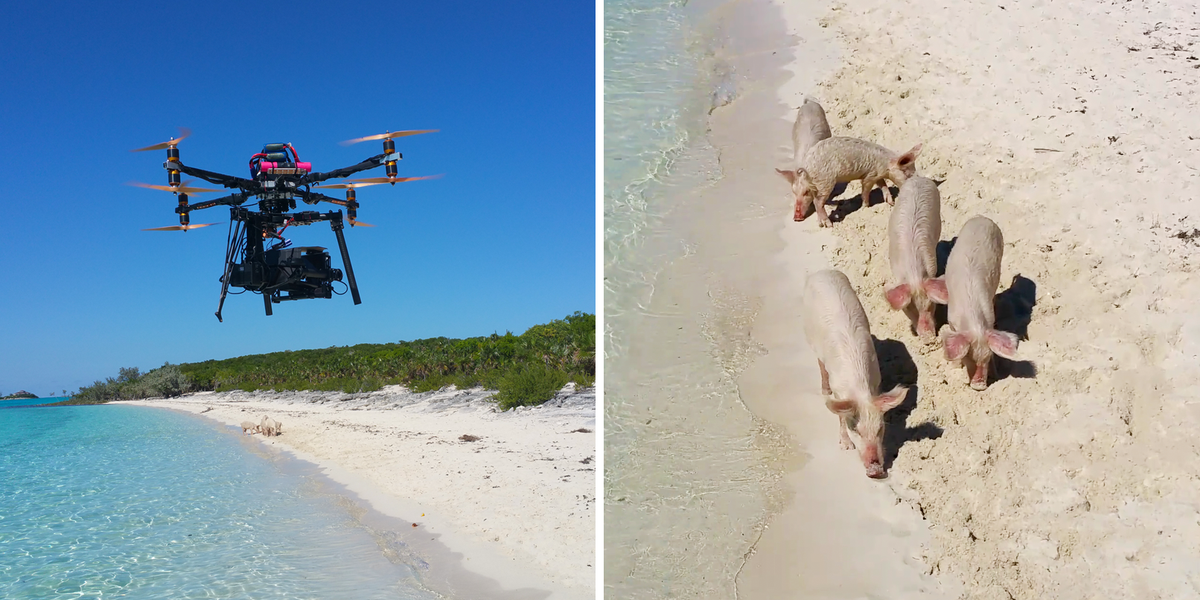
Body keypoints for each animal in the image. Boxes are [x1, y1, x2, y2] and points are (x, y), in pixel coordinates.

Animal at [786, 137, 923, 227]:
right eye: (907, 173)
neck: (886, 164)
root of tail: (807, 164)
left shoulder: (876, 174)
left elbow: (882, 184)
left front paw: (891, 202)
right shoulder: (869, 175)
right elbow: (866, 189)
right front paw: (866, 206)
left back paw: (820, 224)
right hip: (825, 182)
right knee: (818, 202)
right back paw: (829, 225)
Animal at [803, 269, 909, 479]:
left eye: (880, 429)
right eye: (856, 430)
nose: (876, 470)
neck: (859, 389)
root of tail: (821, 272)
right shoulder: (839, 389)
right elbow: (841, 415)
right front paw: (845, 447)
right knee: (820, 364)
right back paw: (823, 390)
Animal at [926, 215, 1018, 390]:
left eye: (988, 358)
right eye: (969, 357)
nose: (979, 385)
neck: (974, 323)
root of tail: (982, 218)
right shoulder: (952, 320)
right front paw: (956, 366)